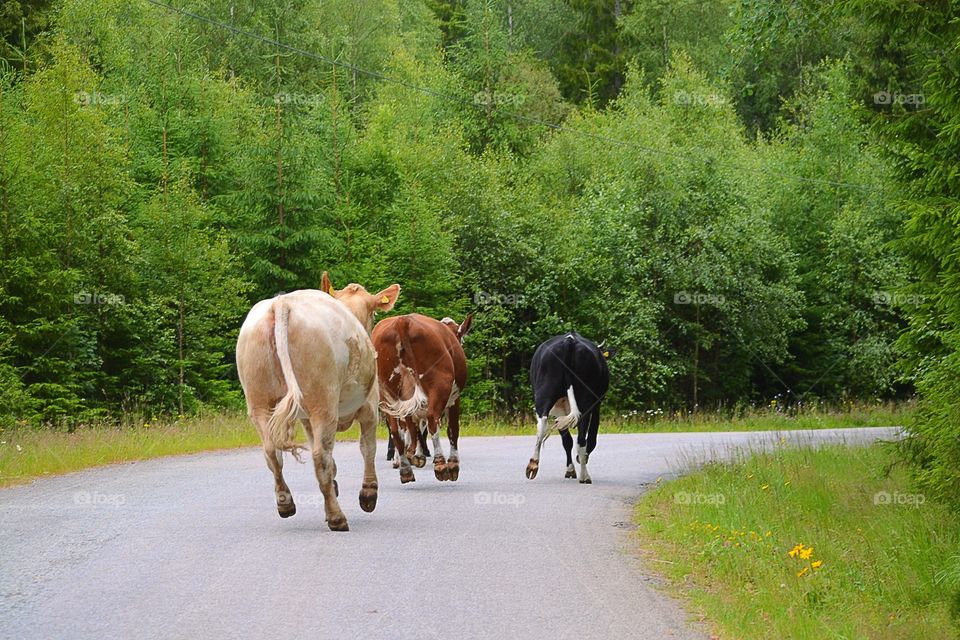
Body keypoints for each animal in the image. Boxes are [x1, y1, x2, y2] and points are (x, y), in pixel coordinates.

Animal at [238, 272, 400, 532]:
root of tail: (282, 303)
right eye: (374, 313)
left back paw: (286, 504)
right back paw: (337, 517)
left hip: (260, 401)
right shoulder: (369, 407)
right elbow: (367, 448)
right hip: (323, 402)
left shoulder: (305, 419)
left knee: (272, 452)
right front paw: (368, 494)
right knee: (319, 456)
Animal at [372, 312, 472, 482]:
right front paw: (452, 463)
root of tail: (403, 321)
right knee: (432, 419)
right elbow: (452, 428)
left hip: (388, 393)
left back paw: (405, 467)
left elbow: (416, 427)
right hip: (439, 384)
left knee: (396, 429)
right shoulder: (454, 397)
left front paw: (416, 455)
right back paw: (440, 464)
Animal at [520, 332, 612, 482]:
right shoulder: (597, 405)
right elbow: (590, 439)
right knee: (582, 437)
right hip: (585, 399)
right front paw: (577, 462)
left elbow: (566, 440)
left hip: (545, 393)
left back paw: (533, 465)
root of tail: (570, 340)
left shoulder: (559, 411)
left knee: (542, 425)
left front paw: (571, 468)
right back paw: (584, 475)